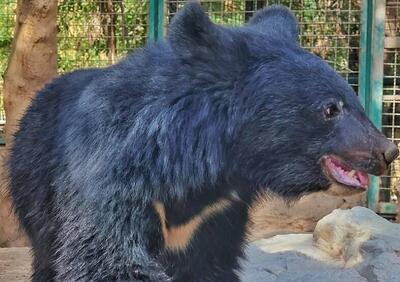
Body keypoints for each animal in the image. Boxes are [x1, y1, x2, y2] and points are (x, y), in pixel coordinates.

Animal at [7, 2, 398, 282]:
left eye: (354, 101)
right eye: (330, 109)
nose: (387, 151)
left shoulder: (218, 214)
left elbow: (211, 264)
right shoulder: (112, 177)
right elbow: (107, 257)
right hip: (35, 192)